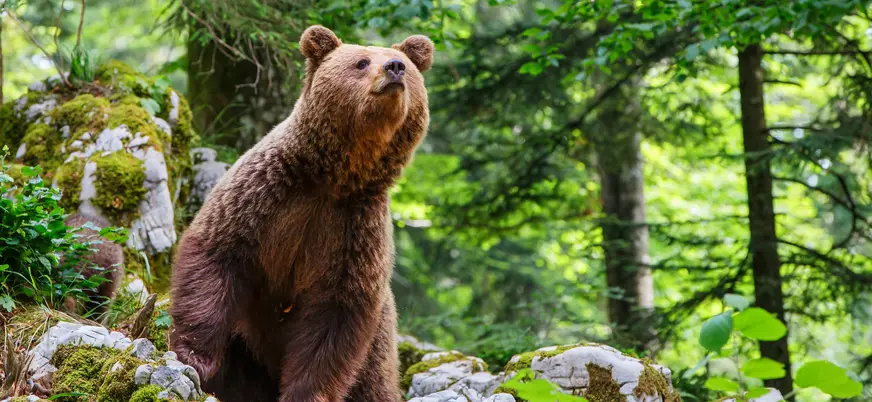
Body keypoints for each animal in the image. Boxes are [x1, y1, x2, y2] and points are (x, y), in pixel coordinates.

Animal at [169, 25, 433, 402]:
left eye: (406, 67)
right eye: (361, 61)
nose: (394, 68)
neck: (334, 178)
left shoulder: (353, 232)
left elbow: (334, 320)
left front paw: (306, 393)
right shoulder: (265, 196)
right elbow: (216, 257)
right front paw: (194, 358)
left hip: (377, 359)